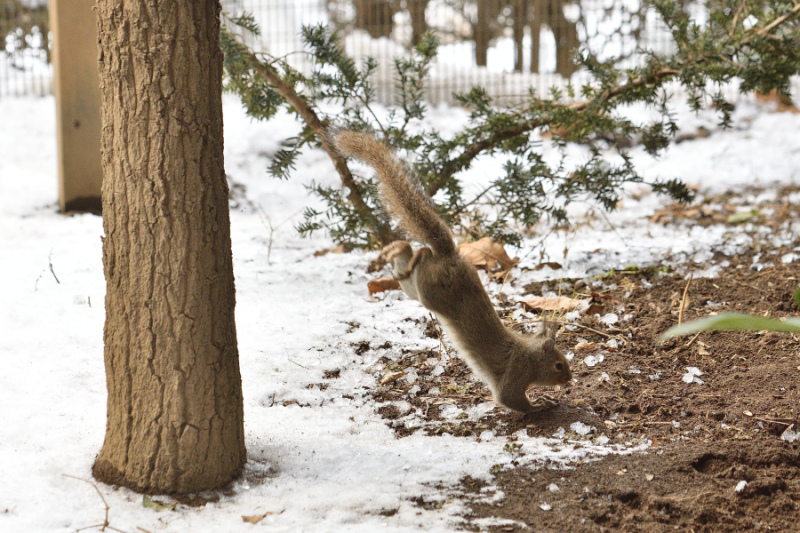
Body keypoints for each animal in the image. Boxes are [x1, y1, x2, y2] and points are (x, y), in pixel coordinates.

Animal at [334, 131, 572, 414]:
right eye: (558, 365)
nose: (570, 379)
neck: (530, 354)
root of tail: (451, 255)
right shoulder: (516, 372)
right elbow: (510, 399)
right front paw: (542, 404)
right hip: (432, 291)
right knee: (423, 254)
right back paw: (411, 253)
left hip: (415, 289)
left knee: (408, 258)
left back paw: (393, 252)